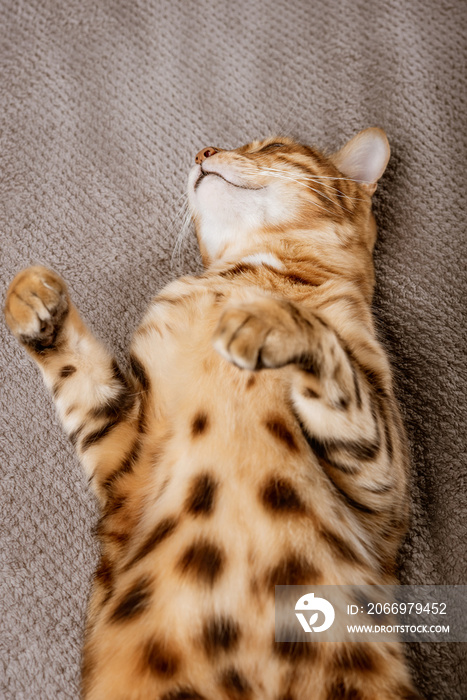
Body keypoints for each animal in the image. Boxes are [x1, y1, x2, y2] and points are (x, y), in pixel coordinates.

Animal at [3, 130, 422, 700]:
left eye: (270, 145)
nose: (203, 152)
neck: (255, 273)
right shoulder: (124, 463)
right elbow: (78, 375)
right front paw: (29, 298)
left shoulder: (385, 493)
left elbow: (326, 349)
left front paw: (269, 320)